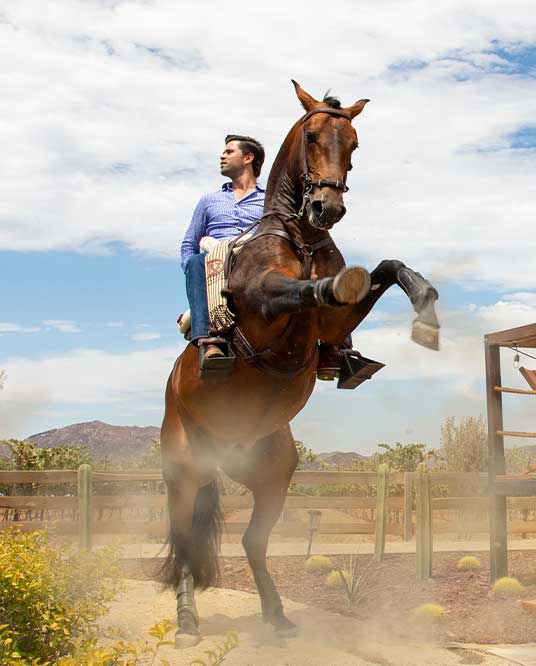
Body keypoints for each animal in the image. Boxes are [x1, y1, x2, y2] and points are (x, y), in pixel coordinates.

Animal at [160, 80, 440, 644]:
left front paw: (425, 308)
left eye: (354, 143)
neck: (302, 241)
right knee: (184, 542)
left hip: (270, 477)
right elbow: (309, 288)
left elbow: (382, 270)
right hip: (183, 471)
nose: (325, 207)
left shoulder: (334, 321)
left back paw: (276, 614)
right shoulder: (266, 305)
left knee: (252, 541)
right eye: (312, 136)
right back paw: (187, 622)